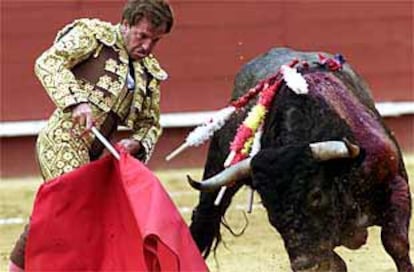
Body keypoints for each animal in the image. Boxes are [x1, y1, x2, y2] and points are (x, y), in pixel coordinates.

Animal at [189, 47, 412, 270]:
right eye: (269, 207)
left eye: (316, 195)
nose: (304, 264)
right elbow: (334, 263)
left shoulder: (396, 183)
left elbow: (395, 243)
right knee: (204, 217)